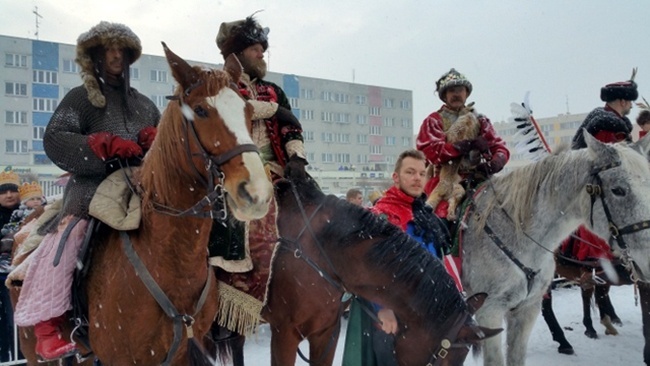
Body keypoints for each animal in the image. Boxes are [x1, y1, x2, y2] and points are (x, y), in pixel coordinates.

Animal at [10, 43, 274, 366]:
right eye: (200, 110)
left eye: (247, 111)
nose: (257, 193)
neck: (171, 257)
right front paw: (110, 145)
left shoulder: (184, 351)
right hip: (32, 349)